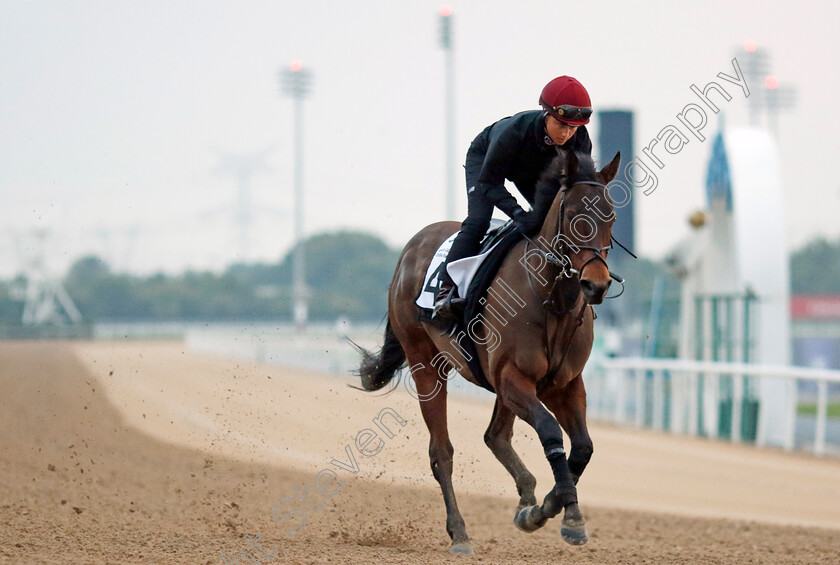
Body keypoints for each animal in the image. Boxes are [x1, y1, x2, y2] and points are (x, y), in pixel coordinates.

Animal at [352, 148, 616, 552]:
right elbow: (551, 432)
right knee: (441, 452)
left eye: (612, 215)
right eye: (573, 215)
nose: (596, 285)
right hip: (425, 362)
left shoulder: (564, 384)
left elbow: (583, 447)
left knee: (496, 436)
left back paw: (525, 499)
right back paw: (459, 532)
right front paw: (566, 515)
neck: (551, 300)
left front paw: (545, 508)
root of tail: (411, 248)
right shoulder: (512, 378)